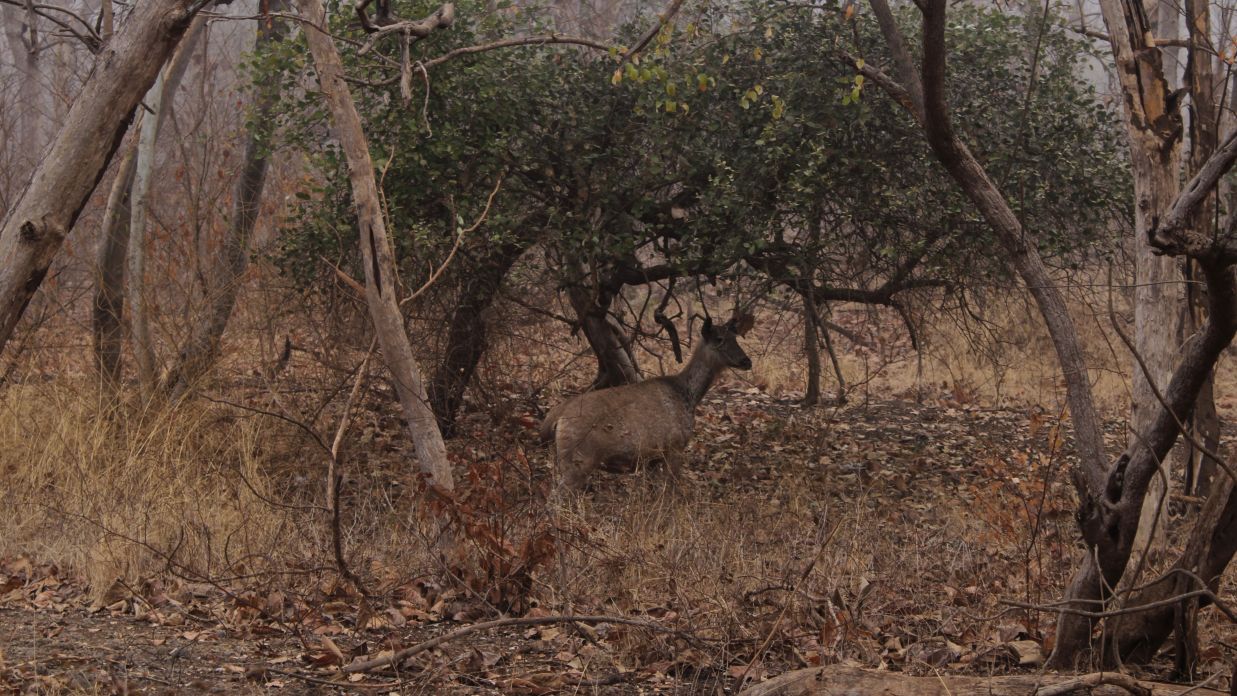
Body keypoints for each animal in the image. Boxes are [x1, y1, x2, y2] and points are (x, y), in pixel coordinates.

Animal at [541, 312, 752, 492]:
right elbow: (670, 491)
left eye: (736, 338)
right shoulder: (675, 446)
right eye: (719, 339)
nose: (747, 361)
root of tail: (555, 418)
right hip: (578, 459)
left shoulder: (652, 458)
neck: (688, 396)